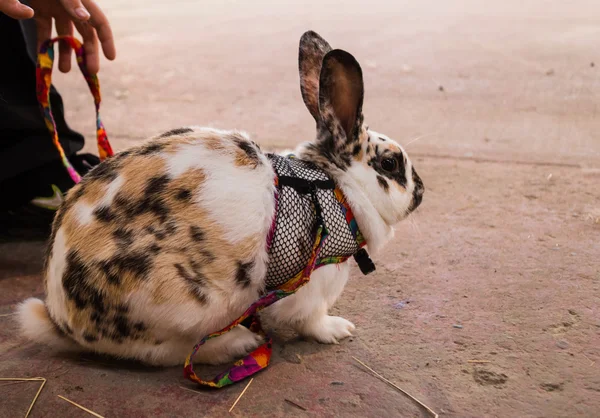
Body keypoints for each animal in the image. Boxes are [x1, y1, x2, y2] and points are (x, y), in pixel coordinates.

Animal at [17, 31, 422, 366]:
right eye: (390, 164)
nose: (420, 192)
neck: (335, 186)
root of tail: (62, 318)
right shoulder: (307, 288)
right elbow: (312, 320)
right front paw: (338, 329)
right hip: (182, 305)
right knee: (166, 352)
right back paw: (238, 343)